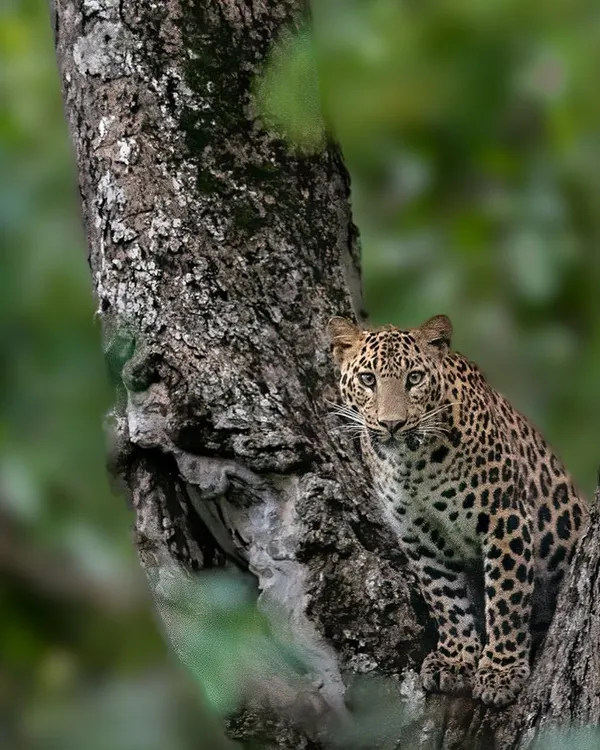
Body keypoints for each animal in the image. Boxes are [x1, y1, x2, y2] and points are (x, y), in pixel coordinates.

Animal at [327, 313, 588, 707]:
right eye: (368, 380)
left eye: (414, 378)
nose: (392, 424)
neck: (413, 464)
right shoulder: (418, 535)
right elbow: (444, 598)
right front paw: (456, 660)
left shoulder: (505, 519)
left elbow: (506, 600)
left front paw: (500, 672)